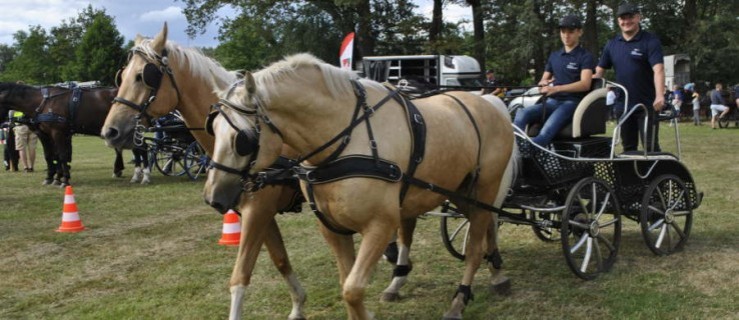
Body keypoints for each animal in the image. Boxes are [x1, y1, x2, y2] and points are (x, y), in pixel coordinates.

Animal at [99, 23, 306, 320]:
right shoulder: (259, 214)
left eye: (143, 76)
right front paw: (298, 305)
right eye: (122, 75)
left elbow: (240, 277)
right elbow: (280, 259)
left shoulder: (258, 212)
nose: (110, 131)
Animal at [202, 53, 516, 318]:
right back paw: (497, 273)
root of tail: (490, 102)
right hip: (462, 191)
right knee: (486, 223)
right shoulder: (333, 229)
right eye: (212, 129)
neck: (346, 141)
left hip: (486, 185)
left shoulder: (381, 225)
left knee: (474, 246)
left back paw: (460, 300)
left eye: (242, 139)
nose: (213, 197)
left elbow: (352, 290)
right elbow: (346, 284)